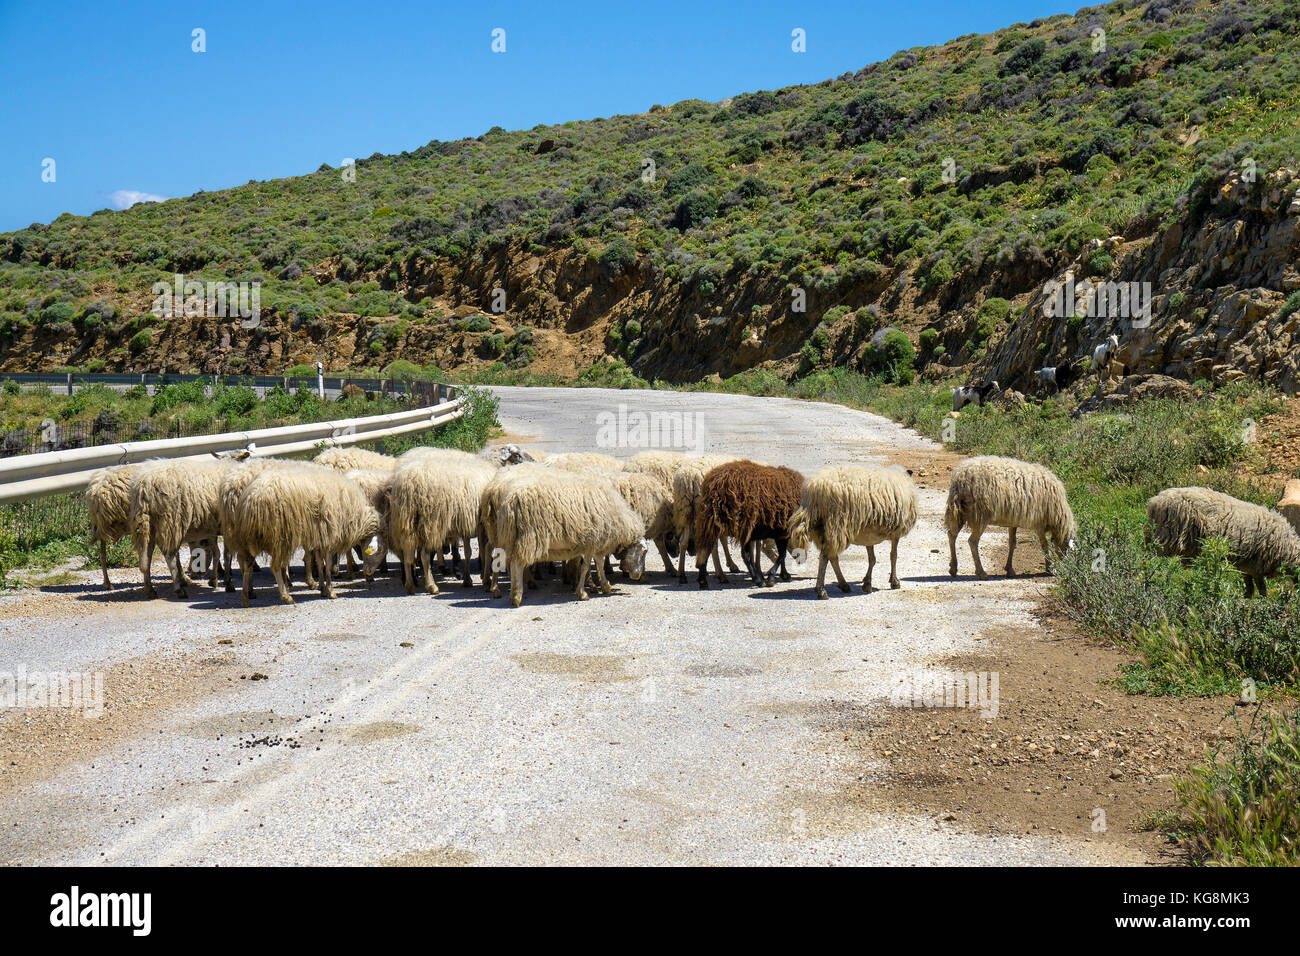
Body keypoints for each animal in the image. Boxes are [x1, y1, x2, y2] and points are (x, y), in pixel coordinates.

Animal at [785, 463, 920, 598]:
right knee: (825, 557)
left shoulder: (869, 534)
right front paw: (894, 582)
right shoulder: (896, 533)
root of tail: (815, 489)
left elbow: (872, 558)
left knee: (832, 556)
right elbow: (893, 556)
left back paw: (843, 585)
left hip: (821, 528)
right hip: (837, 525)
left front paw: (867, 583)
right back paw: (821, 590)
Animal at [946, 457, 1076, 582]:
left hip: (958, 512)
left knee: (952, 535)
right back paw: (981, 573)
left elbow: (1012, 543)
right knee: (972, 541)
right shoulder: (1040, 522)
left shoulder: (1013, 521)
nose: (1067, 568)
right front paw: (1049, 568)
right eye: (1068, 549)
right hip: (980, 515)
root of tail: (960, 476)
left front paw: (1009, 569)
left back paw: (953, 568)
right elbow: (1044, 544)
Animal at [1149, 486, 1300, 598]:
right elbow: (1261, 590)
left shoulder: (1247, 566)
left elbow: (1249, 588)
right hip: (1167, 537)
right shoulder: (1257, 566)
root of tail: (1156, 500)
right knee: (1159, 560)